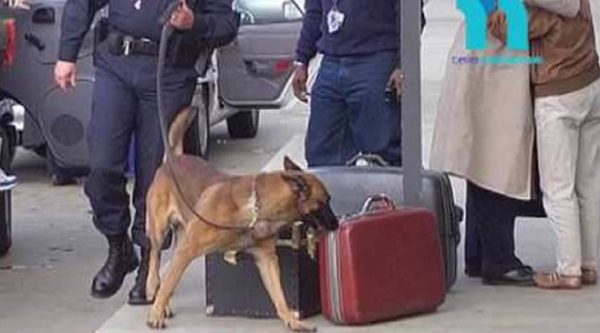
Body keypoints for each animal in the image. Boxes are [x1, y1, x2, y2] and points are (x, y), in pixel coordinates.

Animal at [144, 107, 338, 330]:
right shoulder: (188, 250)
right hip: (160, 230)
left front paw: (292, 320)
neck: (255, 208)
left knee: (168, 271)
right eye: (325, 201)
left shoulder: (267, 260)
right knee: (155, 257)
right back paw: (152, 289)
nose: (337, 224)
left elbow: (279, 296)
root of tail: (173, 159)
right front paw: (155, 314)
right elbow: (168, 284)